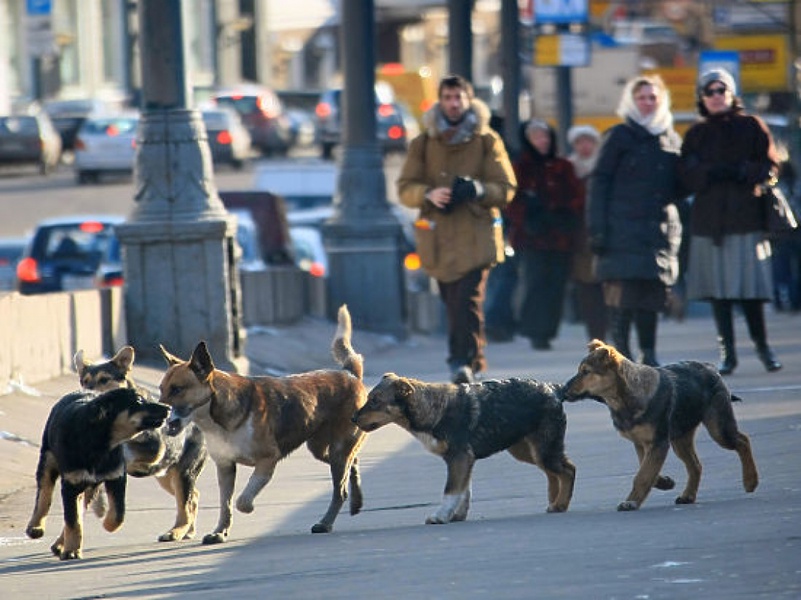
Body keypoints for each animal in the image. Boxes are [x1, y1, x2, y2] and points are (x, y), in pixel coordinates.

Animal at [25, 386, 169, 560]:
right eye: (139, 400)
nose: (169, 408)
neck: (100, 444)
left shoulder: (116, 477)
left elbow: (117, 514)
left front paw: (107, 525)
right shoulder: (70, 484)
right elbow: (73, 521)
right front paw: (72, 551)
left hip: (89, 486)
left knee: (78, 510)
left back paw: (59, 544)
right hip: (48, 459)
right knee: (45, 494)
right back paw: (35, 527)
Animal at [75, 344, 208, 540]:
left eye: (104, 380)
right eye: (84, 381)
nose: (87, 393)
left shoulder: (156, 448)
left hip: (182, 472)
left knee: (185, 505)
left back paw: (175, 532)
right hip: (166, 475)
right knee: (194, 497)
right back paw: (188, 530)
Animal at [157, 304, 368, 544]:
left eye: (177, 389)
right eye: (161, 389)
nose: (158, 413)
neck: (216, 416)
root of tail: (350, 373)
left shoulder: (268, 460)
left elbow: (241, 501)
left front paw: (247, 508)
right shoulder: (225, 466)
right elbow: (225, 504)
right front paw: (220, 532)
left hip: (338, 450)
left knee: (340, 490)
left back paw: (325, 523)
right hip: (322, 449)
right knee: (353, 462)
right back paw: (356, 501)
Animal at [352, 376, 576, 524]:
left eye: (375, 401)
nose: (353, 418)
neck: (433, 408)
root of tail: (554, 390)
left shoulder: (459, 458)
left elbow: (451, 490)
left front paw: (441, 516)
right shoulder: (463, 461)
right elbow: (464, 490)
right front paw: (457, 515)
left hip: (543, 448)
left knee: (568, 470)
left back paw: (560, 504)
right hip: (526, 450)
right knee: (553, 472)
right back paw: (555, 502)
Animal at [564, 340, 756, 508]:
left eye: (586, 372)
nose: (562, 390)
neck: (624, 397)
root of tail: (711, 368)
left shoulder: (658, 443)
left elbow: (642, 475)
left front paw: (631, 502)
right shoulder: (642, 444)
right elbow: (648, 471)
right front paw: (665, 482)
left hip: (718, 429)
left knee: (742, 440)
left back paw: (751, 480)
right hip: (680, 439)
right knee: (695, 465)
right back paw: (688, 496)